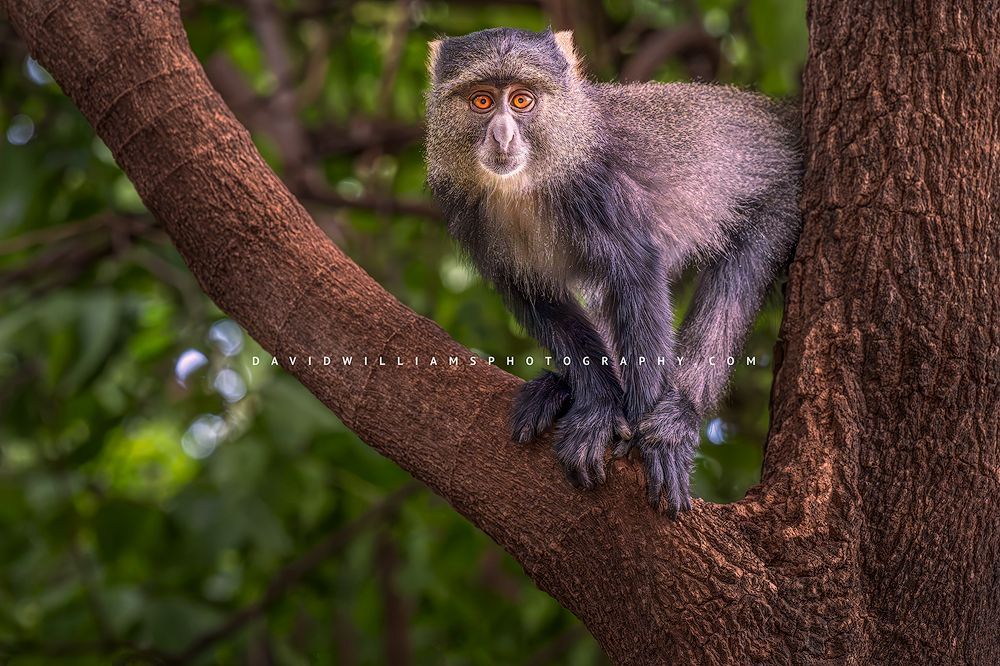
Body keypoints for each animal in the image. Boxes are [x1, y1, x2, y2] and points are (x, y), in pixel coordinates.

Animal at [424, 27, 801, 514]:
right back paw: (560, 389)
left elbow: (636, 270)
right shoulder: (472, 216)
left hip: (783, 201)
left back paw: (677, 416)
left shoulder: (597, 188)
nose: (503, 136)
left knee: (735, 284)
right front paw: (598, 405)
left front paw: (643, 437)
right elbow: (539, 298)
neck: (525, 185)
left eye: (522, 101)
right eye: (482, 101)